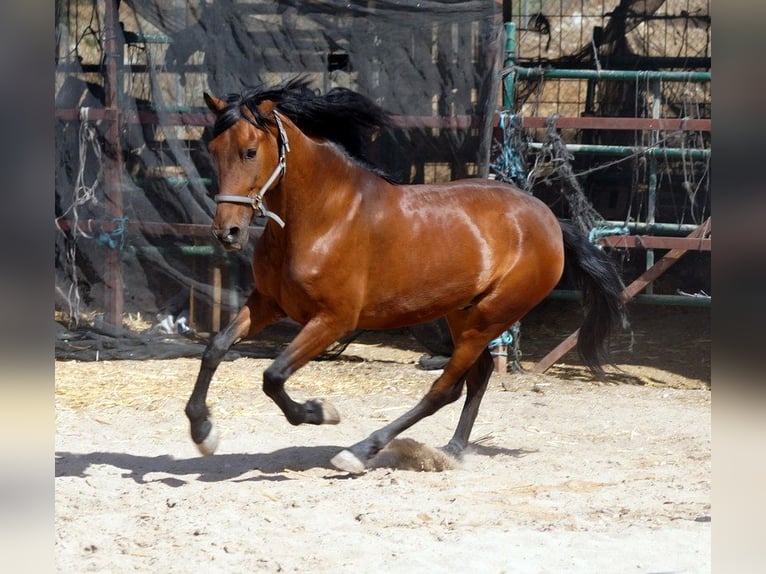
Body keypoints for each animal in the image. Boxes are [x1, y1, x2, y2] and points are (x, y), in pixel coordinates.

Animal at [185, 78, 627, 473]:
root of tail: (549, 220)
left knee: (444, 390)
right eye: (213, 150)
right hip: (463, 313)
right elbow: (215, 348)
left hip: (491, 316)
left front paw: (320, 411)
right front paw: (203, 431)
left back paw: (361, 452)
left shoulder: (333, 320)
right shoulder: (269, 303)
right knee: (479, 376)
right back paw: (452, 450)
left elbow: (273, 375)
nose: (228, 232)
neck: (321, 217)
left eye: (249, 151)